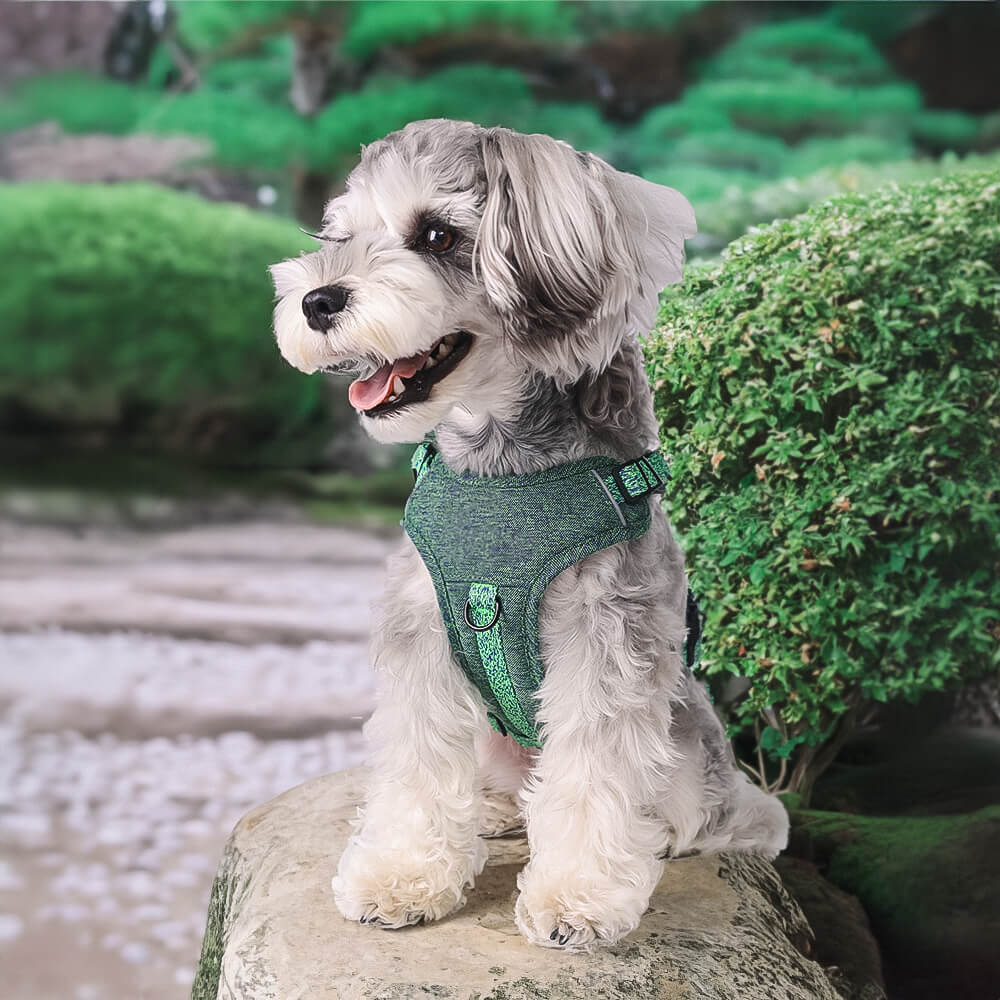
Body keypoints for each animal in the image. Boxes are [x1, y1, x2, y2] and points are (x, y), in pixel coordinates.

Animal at [270, 121, 784, 948]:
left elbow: (594, 771)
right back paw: (489, 811)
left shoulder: (607, 635)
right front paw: (401, 876)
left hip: (692, 746)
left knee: (709, 811)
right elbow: (417, 761)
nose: (317, 300)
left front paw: (577, 901)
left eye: (437, 235)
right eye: (338, 236)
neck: (495, 463)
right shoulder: (422, 631)